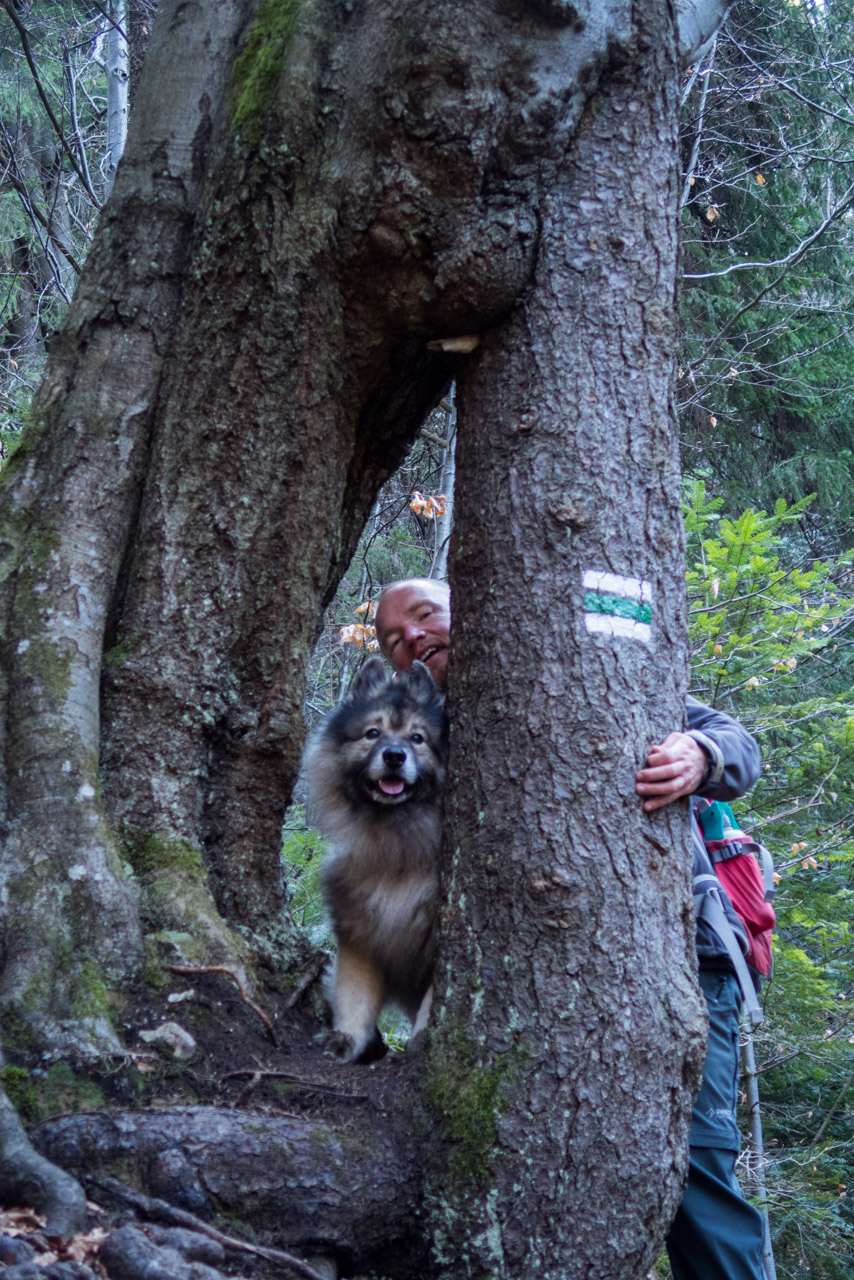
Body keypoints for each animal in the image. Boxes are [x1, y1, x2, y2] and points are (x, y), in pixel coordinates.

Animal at [308, 655, 453, 1064]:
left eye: (417, 738)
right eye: (373, 734)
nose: (394, 756)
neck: (397, 849)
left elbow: (431, 1001)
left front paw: (423, 1039)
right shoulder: (361, 938)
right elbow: (354, 997)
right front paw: (346, 1038)